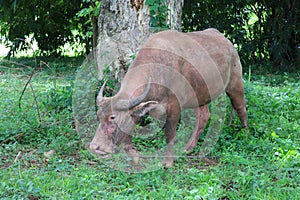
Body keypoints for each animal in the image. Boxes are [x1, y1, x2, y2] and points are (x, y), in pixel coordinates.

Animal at [89, 27, 248, 166]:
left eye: (113, 117)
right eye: (98, 116)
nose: (95, 147)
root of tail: (227, 42)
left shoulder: (174, 106)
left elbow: (170, 133)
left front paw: (168, 162)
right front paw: (134, 157)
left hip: (235, 83)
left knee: (241, 107)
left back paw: (245, 133)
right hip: (199, 95)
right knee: (203, 115)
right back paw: (188, 148)